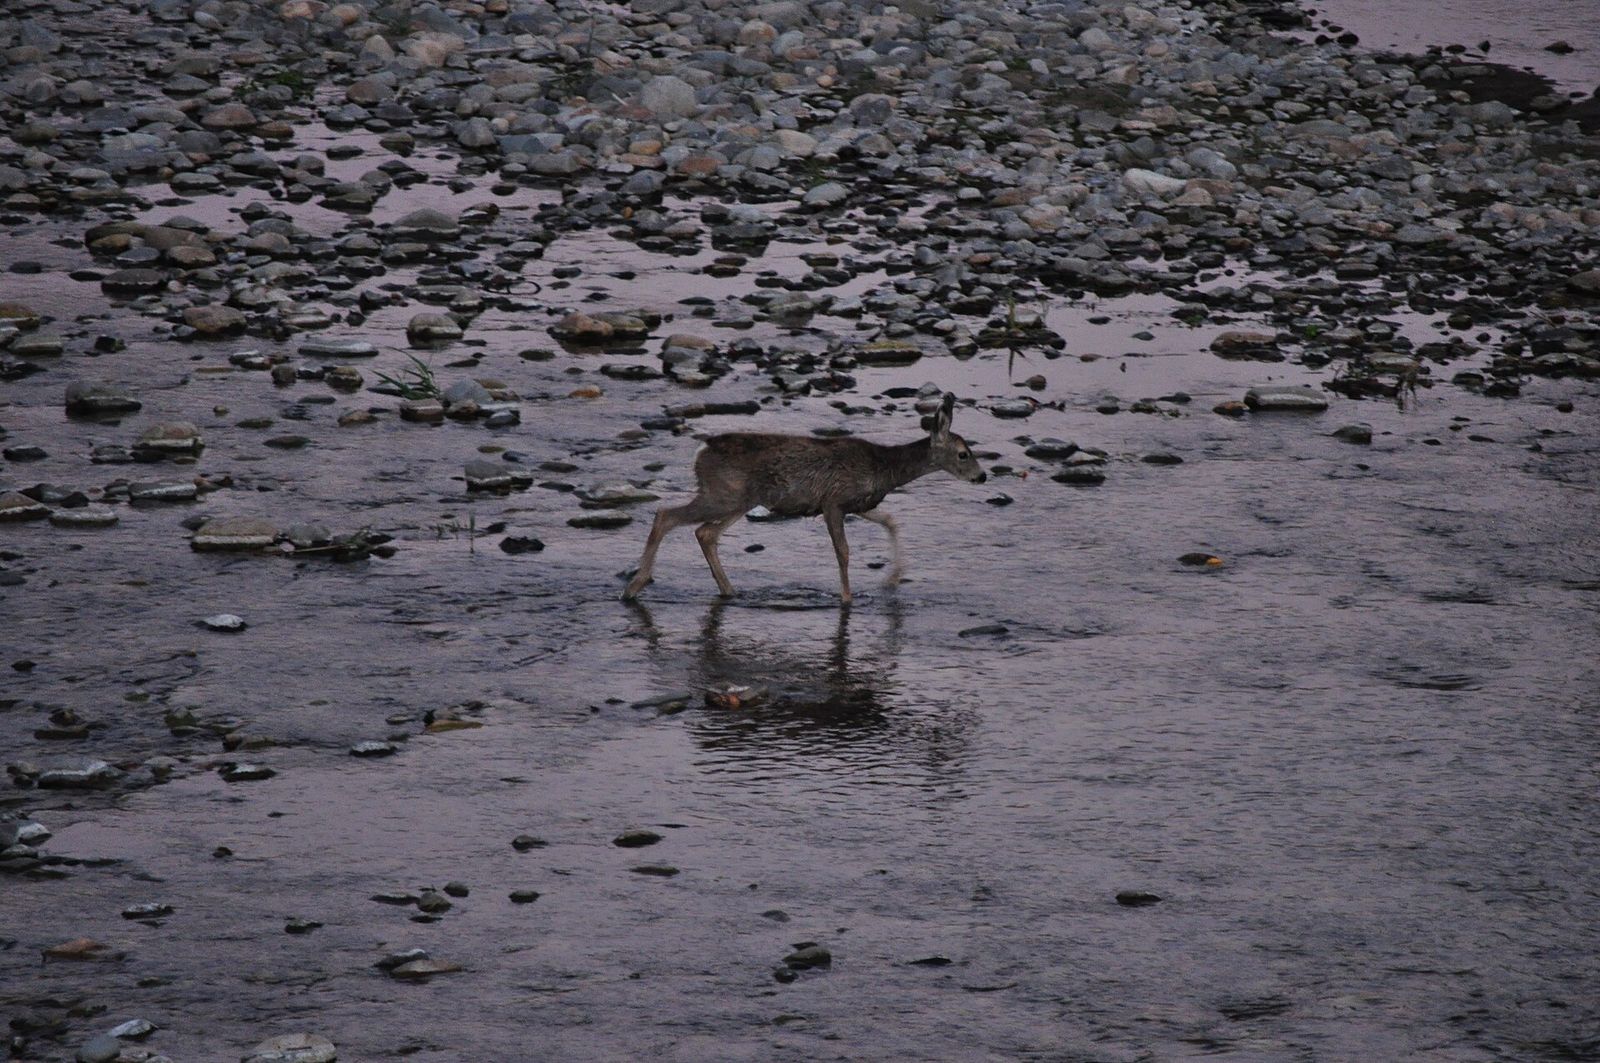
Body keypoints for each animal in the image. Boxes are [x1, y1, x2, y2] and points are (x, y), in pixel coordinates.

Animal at [621, 393, 986, 602]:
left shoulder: (860, 504)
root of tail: (701, 451)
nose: (982, 476)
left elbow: (892, 521)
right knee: (666, 515)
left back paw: (728, 590)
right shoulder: (833, 501)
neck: (883, 468)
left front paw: (892, 580)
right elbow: (843, 552)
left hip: (737, 499)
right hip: (723, 495)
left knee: (705, 532)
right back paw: (634, 587)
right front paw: (846, 598)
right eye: (964, 453)